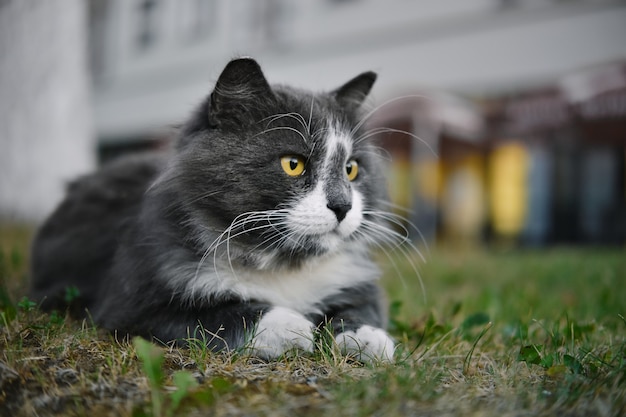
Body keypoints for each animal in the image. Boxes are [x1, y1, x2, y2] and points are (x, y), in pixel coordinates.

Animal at [29, 56, 394, 360]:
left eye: (351, 169)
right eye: (293, 164)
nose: (343, 205)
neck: (281, 264)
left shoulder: (355, 285)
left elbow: (361, 309)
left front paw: (369, 339)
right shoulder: (131, 305)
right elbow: (220, 315)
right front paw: (290, 326)